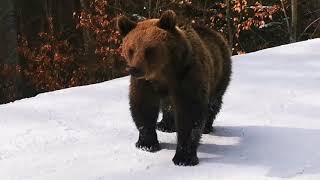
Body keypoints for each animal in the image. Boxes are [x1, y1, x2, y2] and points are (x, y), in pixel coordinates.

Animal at [116, 10, 231, 166]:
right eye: (131, 49)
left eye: (149, 49)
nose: (134, 69)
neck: (163, 73)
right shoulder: (145, 84)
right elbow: (144, 108)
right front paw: (147, 144)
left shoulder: (187, 76)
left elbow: (189, 113)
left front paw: (184, 157)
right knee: (168, 105)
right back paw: (165, 125)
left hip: (219, 74)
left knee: (213, 103)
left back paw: (207, 127)